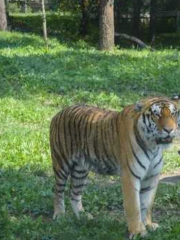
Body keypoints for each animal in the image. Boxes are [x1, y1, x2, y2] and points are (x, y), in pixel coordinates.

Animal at [49, 96, 180, 238]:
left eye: (173, 114)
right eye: (156, 114)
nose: (169, 130)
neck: (153, 146)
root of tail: (60, 112)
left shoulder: (151, 177)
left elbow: (147, 204)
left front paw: (148, 225)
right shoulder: (130, 175)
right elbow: (134, 206)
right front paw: (137, 231)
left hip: (80, 170)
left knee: (74, 193)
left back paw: (82, 216)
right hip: (62, 163)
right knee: (58, 190)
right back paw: (60, 215)